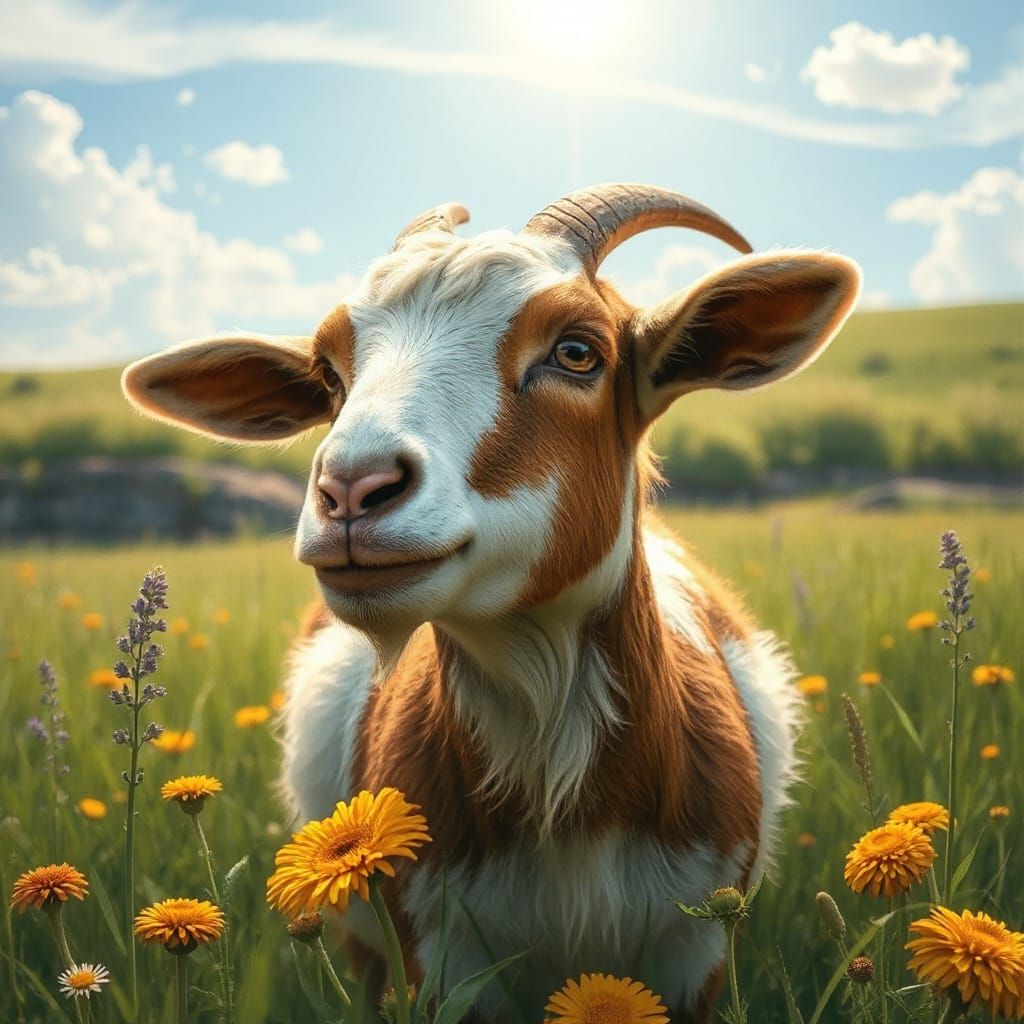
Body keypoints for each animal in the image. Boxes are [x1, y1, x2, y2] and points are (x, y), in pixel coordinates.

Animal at [122, 184, 860, 1023]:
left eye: (578, 352)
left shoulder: (694, 947)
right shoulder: (439, 951)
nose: (352, 489)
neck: (563, 801)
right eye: (331, 377)